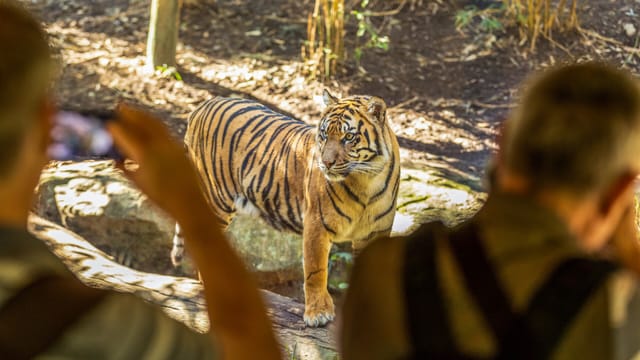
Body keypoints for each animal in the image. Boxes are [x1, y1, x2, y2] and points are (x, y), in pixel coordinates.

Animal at [170, 90, 400, 326]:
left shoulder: (375, 233)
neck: (366, 182)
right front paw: (318, 313)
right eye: (324, 135)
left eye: (349, 137)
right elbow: (315, 271)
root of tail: (203, 106)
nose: (326, 163)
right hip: (216, 201)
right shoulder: (316, 225)